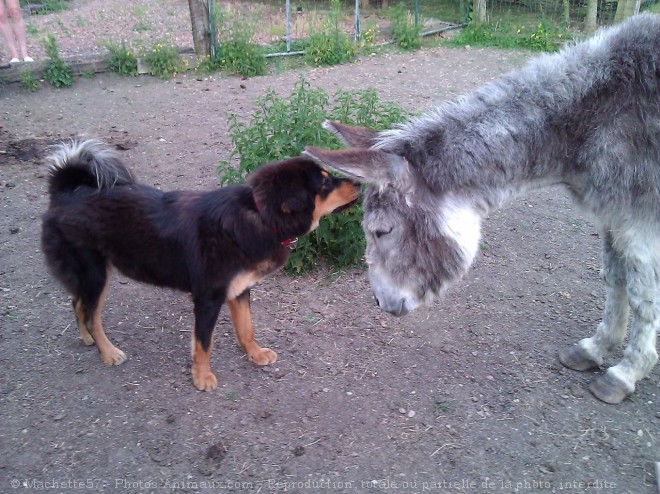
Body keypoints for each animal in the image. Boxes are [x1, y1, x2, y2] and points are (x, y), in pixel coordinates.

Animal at [40, 139, 360, 390]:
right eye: (325, 182)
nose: (358, 181)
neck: (260, 215)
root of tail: (65, 192)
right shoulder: (208, 297)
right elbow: (204, 342)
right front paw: (202, 377)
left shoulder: (238, 290)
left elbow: (246, 328)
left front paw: (254, 354)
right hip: (95, 274)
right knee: (91, 315)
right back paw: (108, 352)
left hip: (91, 276)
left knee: (78, 304)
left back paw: (87, 340)